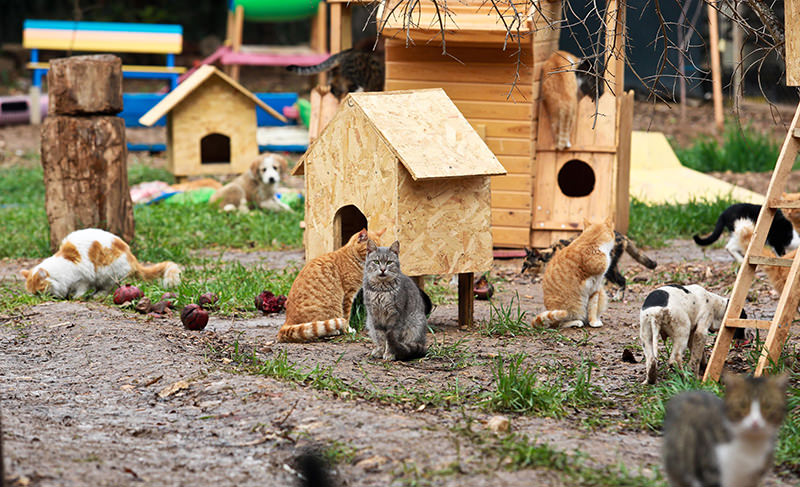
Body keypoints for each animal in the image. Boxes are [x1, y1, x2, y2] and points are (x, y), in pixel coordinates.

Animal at [18, 227, 181, 300]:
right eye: (33, 293)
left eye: (39, 292)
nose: (37, 298)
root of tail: (133, 258)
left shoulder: (82, 279)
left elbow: (81, 289)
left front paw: (76, 297)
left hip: (107, 274)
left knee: (108, 288)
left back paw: (96, 295)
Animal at [520, 232, 652, 296]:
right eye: (523, 265)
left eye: (527, 265)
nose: (521, 272)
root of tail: (623, 236)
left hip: (609, 269)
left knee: (622, 280)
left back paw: (617, 297)